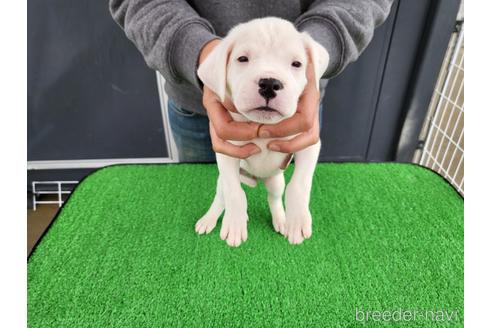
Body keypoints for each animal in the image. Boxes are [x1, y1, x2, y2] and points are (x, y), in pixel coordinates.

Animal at [194, 16, 328, 246]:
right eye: (242, 59)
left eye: (297, 64)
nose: (269, 84)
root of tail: (255, 178)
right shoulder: (227, 152)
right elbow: (235, 193)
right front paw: (235, 224)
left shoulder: (308, 144)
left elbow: (299, 185)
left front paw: (297, 221)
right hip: (222, 181)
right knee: (221, 197)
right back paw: (209, 219)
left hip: (276, 181)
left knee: (273, 198)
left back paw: (282, 220)